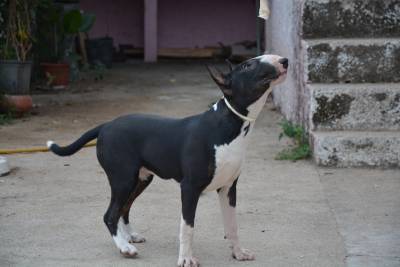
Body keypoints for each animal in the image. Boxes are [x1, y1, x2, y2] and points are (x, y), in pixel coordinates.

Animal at [48, 55, 290, 267]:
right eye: (248, 65)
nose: (284, 60)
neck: (228, 124)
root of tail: (106, 125)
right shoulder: (189, 188)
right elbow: (187, 227)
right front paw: (186, 259)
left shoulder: (228, 188)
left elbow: (232, 225)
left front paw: (238, 253)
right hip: (123, 179)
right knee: (110, 214)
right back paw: (125, 247)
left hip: (141, 179)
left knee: (123, 209)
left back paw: (129, 236)